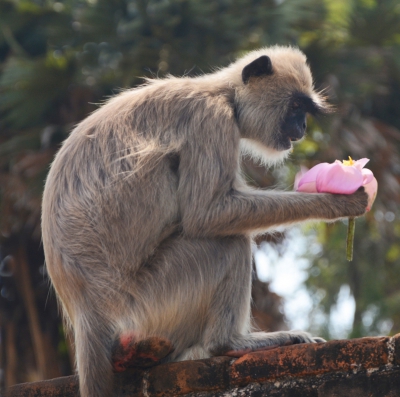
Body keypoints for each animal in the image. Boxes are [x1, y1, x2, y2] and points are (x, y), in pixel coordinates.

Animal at [41, 47, 368, 396]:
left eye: (304, 110)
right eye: (295, 107)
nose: (302, 127)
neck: (223, 92)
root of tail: (87, 310)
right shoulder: (211, 120)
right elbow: (207, 213)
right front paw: (338, 201)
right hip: (148, 302)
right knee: (227, 242)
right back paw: (228, 344)